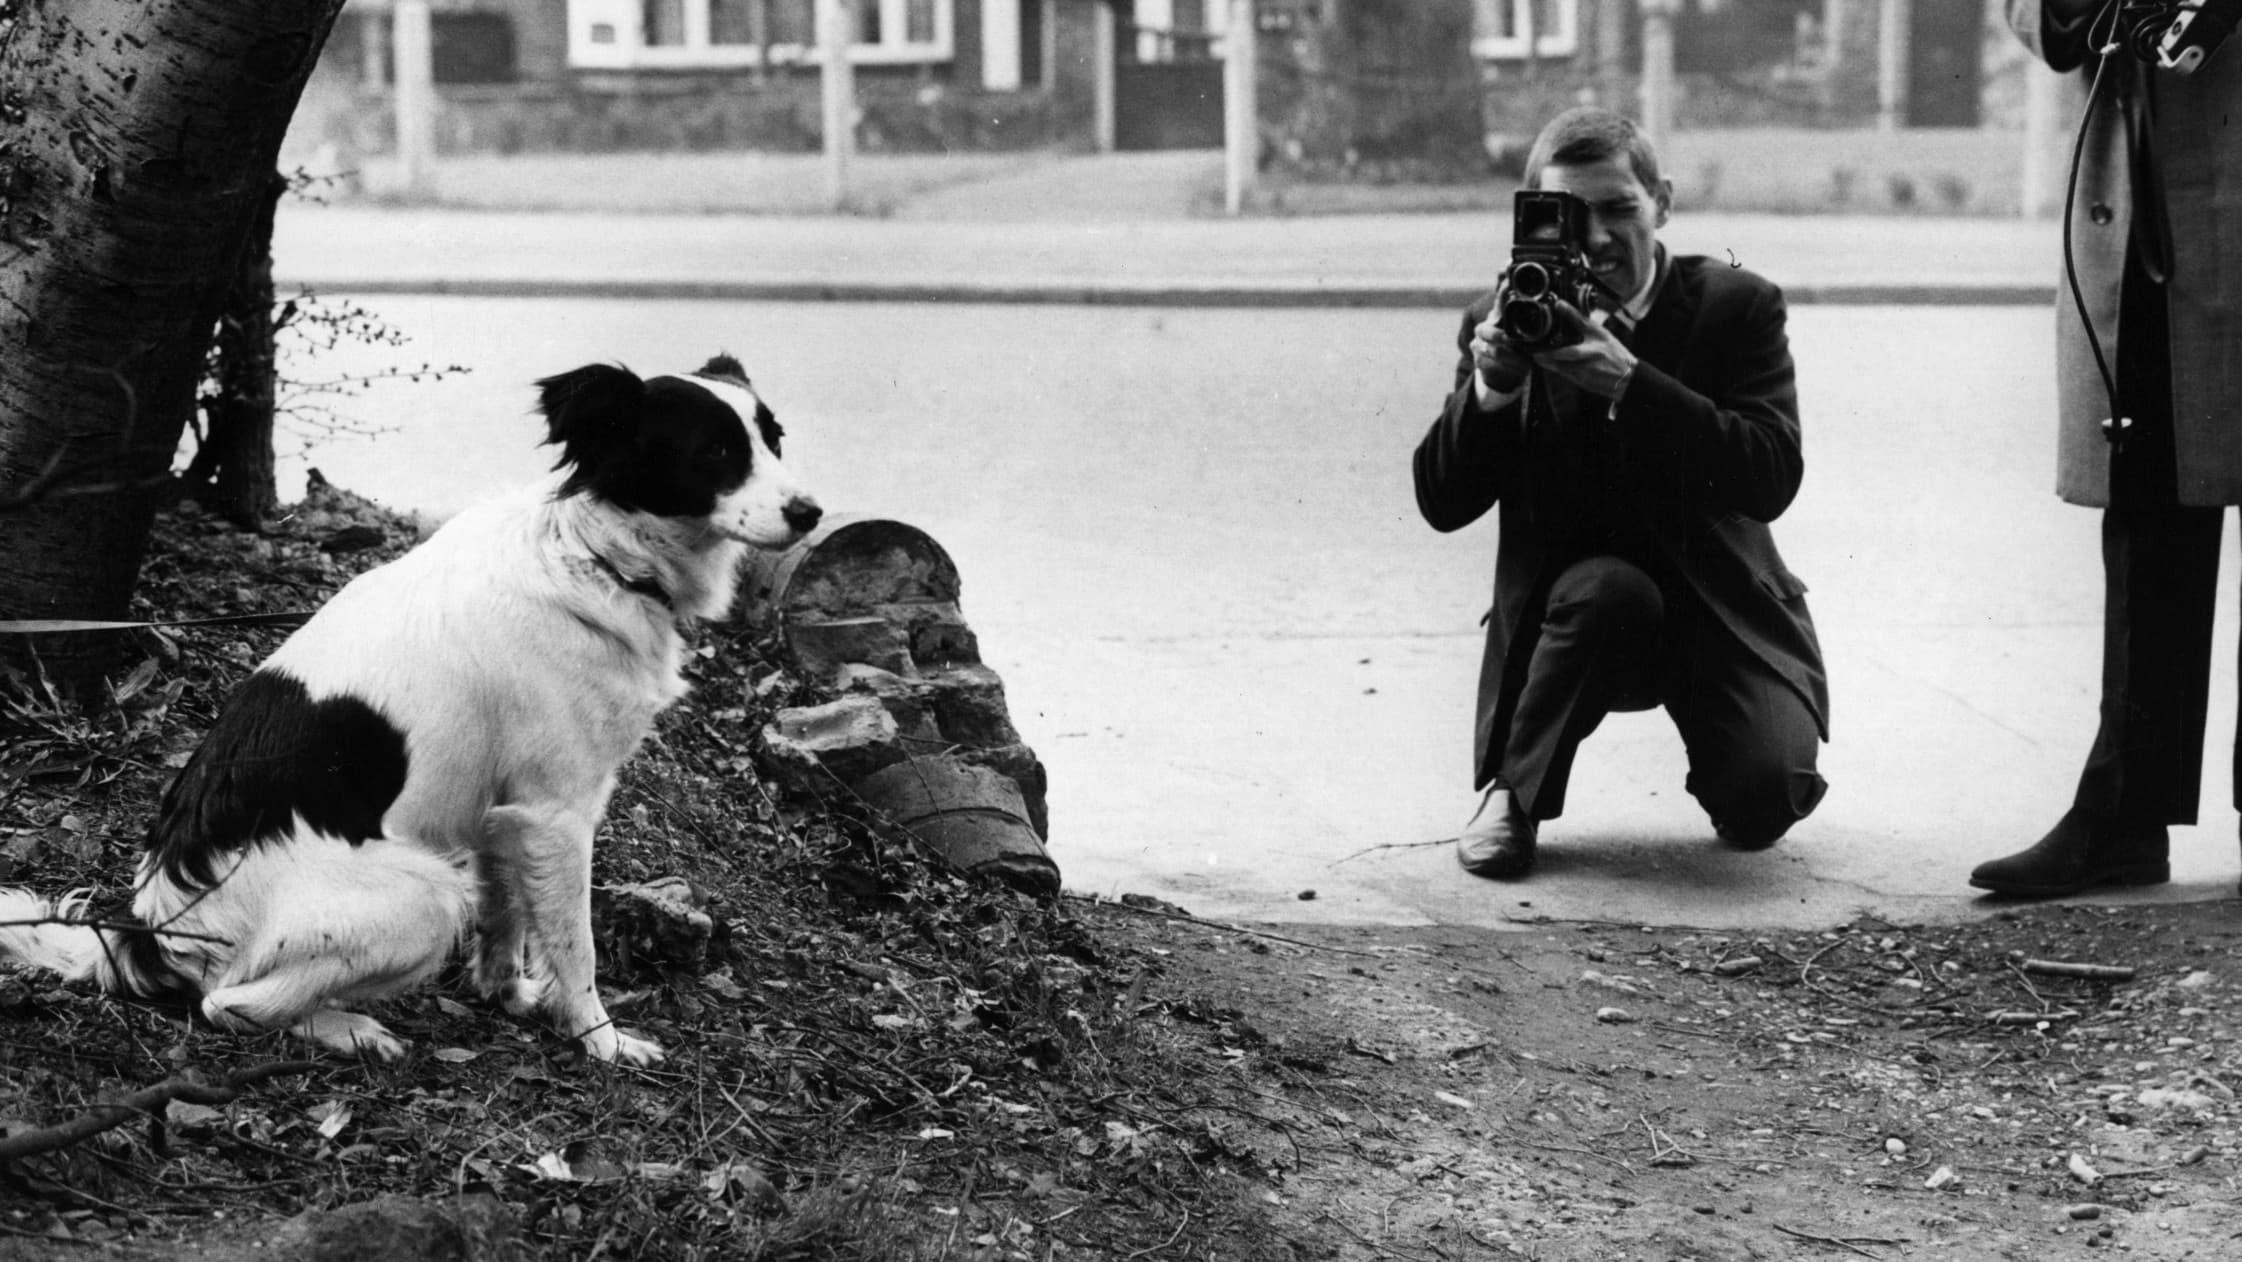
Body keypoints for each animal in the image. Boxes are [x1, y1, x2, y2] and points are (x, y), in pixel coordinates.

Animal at [0, 356, 825, 1066]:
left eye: (776, 439)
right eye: (716, 451)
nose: (812, 512)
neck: (594, 556)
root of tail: (151, 931)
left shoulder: (504, 812)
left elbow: (508, 915)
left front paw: (506, 992)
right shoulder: (557, 813)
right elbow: (575, 944)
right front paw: (601, 1039)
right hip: (426, 895)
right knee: (226, 1004)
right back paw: (351, 1029)